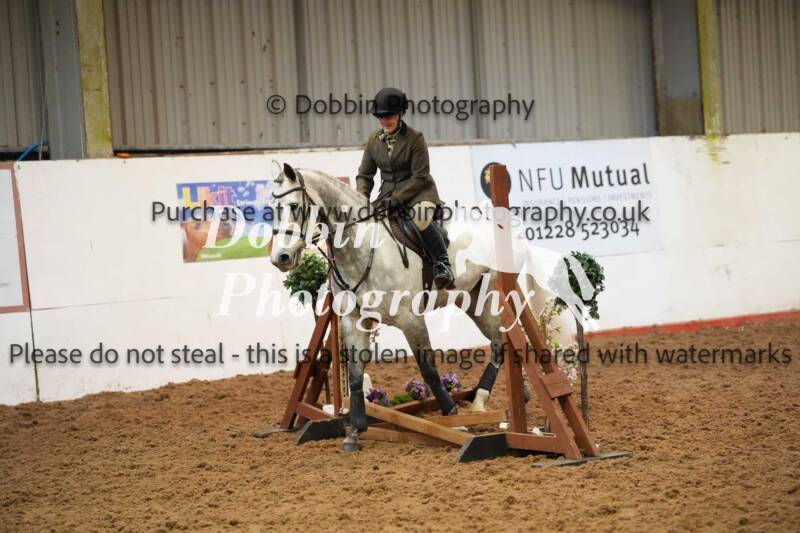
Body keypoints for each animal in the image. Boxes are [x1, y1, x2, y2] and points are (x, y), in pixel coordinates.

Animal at [269, 163, 584, 452]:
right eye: (271, 209)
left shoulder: (410, 318)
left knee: (504, 340)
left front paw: (452, 415)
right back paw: (499, 397)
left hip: (494, 294)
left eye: (294, 207)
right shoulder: (354, 320)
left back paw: (481, 400)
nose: (280, 258)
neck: (363, 250)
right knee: (499, 341)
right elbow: (356, 374)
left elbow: (428, 367)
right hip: (473, 301)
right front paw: (354, 433)